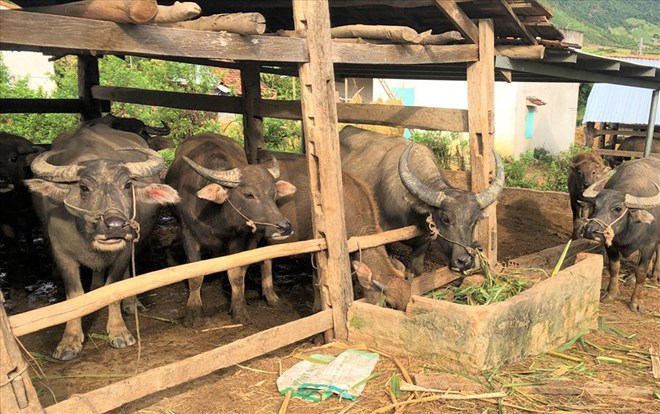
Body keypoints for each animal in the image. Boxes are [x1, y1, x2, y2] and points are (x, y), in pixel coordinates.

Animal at [26, 124, 180, 360]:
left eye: (127, 185)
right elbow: (74, 296)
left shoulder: (124, 251)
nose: (116, 226)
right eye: (83, 187)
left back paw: (131, 303)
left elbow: (114, 287)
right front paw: (69, 341)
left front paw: (119, 331)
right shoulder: (62, 254)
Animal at [164, 133, 296, 327]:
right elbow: (195, 276)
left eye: (273, 194)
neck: (214, 216)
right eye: (249, 194)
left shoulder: (237, 239)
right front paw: (194, 312)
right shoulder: (187, 235)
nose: (284, 227)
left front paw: (239, 309)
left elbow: (235, 274)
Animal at [580, 157, 660, 312]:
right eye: (595, 206)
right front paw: (611, 294)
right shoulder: (610, 244)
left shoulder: (650, 243)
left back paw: (654, 277)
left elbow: (642, 271)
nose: (589, 230)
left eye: (617, 208)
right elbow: (614, 267)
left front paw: (635, 303)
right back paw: (632, 278)